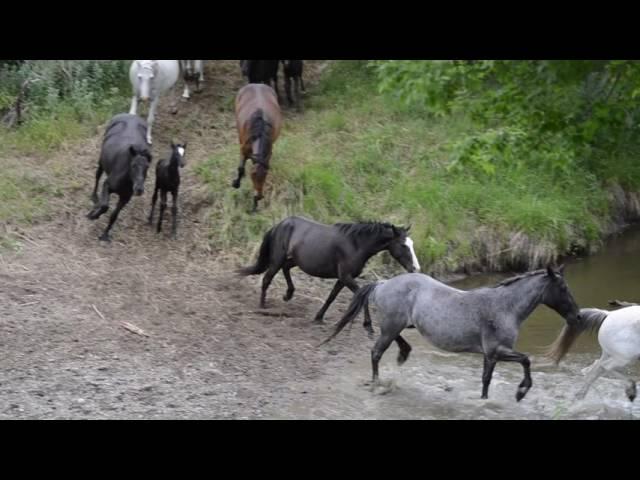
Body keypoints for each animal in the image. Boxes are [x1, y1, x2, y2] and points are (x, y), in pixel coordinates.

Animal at [87, 112, 152, 240]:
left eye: (147, 167)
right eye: (133, 165)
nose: (139, 189)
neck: (126, 180)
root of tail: (129, 114)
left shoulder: (125, 198)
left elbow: (114, 215)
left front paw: (105, 234)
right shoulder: (107, 185)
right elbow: (105, 206)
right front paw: (93, 215)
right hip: (101, 162)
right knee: (97, 175)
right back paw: (94, 197)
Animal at [229, 83, 282, 211]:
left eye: (265, 176)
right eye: (252, 176)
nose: (259, 196)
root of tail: (257, 84)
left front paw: (255, 205)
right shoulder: (243, 150)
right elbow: (240, 168)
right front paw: (236, 183)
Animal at [322, 266, 584, 402]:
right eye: (562, 288)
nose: (578, 316)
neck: (505, 307)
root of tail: (382, 284)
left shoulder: (490, 355)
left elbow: (486, 380)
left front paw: (485, 400)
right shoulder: (496, 351)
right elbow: (526, 360)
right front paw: (521, 392)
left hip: (398, 325)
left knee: (392, 343)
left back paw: (403, 355)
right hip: (391, 326)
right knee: (376, 352)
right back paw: (377, 384)